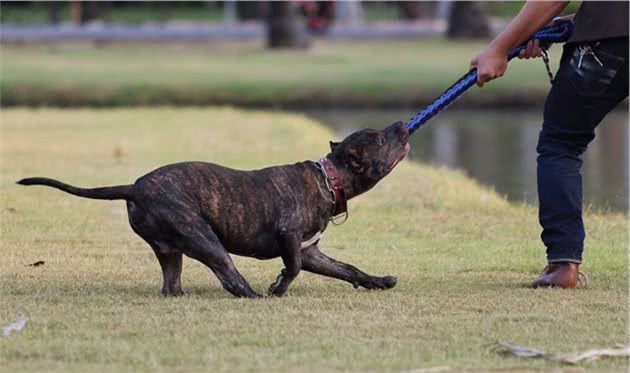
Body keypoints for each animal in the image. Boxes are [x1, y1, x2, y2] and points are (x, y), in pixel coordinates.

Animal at [17, 120, 412, 298]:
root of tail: (135, 186)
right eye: (380, 138)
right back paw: (255, 296)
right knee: (230, 276)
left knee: (171, 285)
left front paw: (378, 281)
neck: (329, 177)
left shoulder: (311, 249)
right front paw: (278, 287)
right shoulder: (289, 237)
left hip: (171, 249)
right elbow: (293, 268)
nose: (402, 125)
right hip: (204, 238)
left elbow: (347, 269)